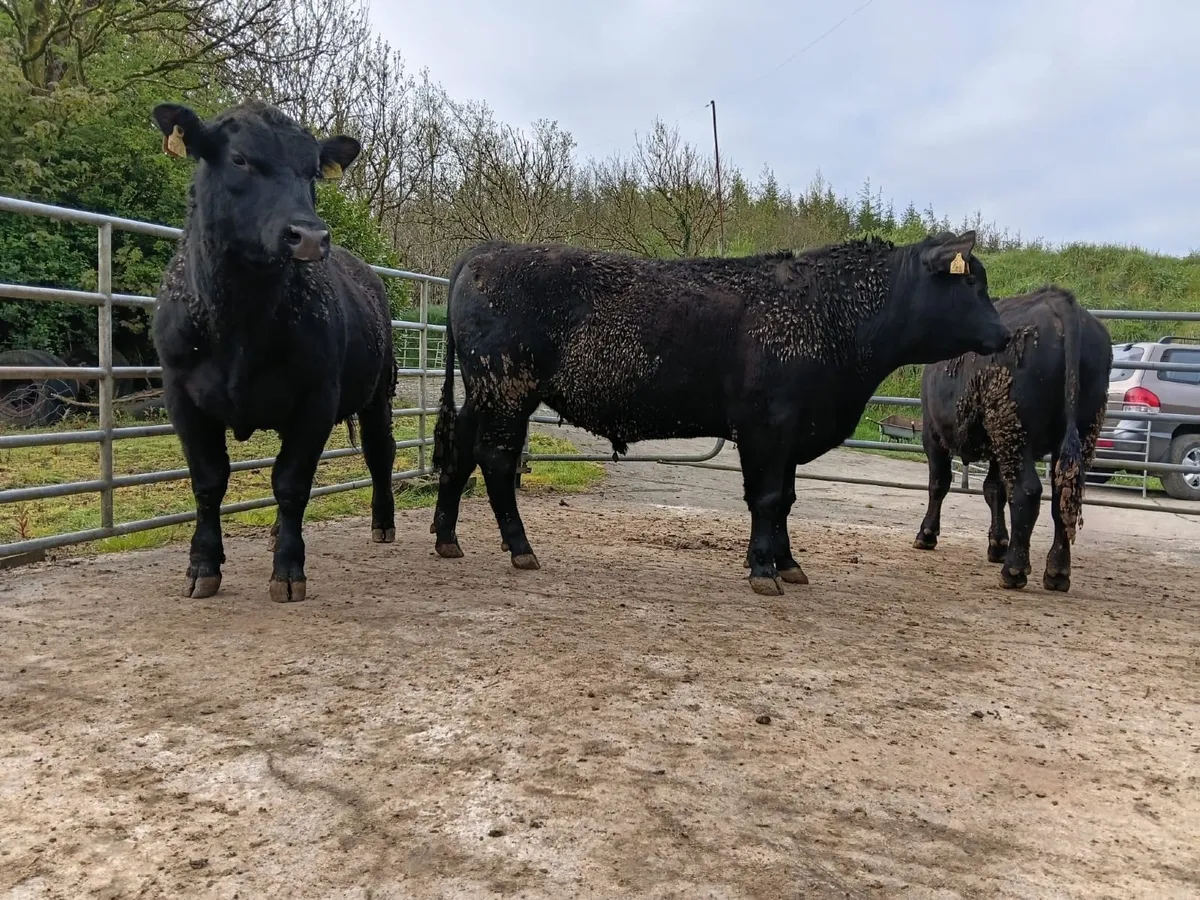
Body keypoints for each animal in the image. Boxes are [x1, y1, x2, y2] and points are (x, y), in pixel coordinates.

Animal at [150, 99, 398, 603]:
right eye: (240, 159)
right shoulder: (180, 394)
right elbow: (208, 480)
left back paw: (382, 523)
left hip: (377, 391)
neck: (239, 325)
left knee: (379, 450)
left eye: (312, 171)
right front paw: (202, 566)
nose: (310, 236)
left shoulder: (316, 397)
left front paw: (288, 571)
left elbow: (290, 483)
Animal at [428, 231, 1011, 596]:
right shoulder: (765, 428)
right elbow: (767, 498)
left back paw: (447, 538)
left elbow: (787, 500)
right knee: (496, 460)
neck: (830, 315)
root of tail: (487, 252)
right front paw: (763, 569)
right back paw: (520, 547)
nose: (1004, 335)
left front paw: (789, 563)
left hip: (486, 394)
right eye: (971, 283)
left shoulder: (791, 433)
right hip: (507, 390)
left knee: (461, 449)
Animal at [912, 286, 1113, 591]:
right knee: (1062, 498)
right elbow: (993, 490)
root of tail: (1061, 302)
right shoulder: (997, 446)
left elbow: (939, 483)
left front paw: (926, 534)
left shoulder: (933, 433)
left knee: (1026, 492)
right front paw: (997, 544)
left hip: (1015, 430)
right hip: (1080, 431)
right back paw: (1056, 572)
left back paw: (1015, 570)